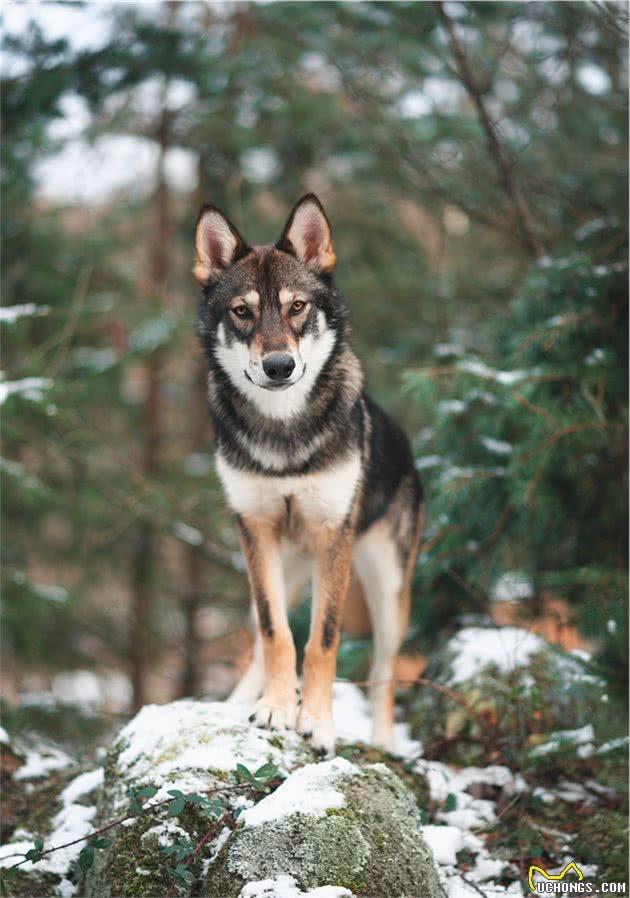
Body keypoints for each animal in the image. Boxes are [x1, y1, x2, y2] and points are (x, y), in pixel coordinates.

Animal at [195, 192, 428, 752]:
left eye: (296, 307)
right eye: (242, 312)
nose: (279, 366)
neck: (284, 435)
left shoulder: (331, 536)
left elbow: (323, 640)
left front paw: (317, 723)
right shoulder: (254, 531)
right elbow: (277, 633)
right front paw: (277, 710)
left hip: (387, 591)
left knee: (384, 673)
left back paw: (383, 743)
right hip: (276, 567)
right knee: (261, 640)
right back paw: (238, 703)